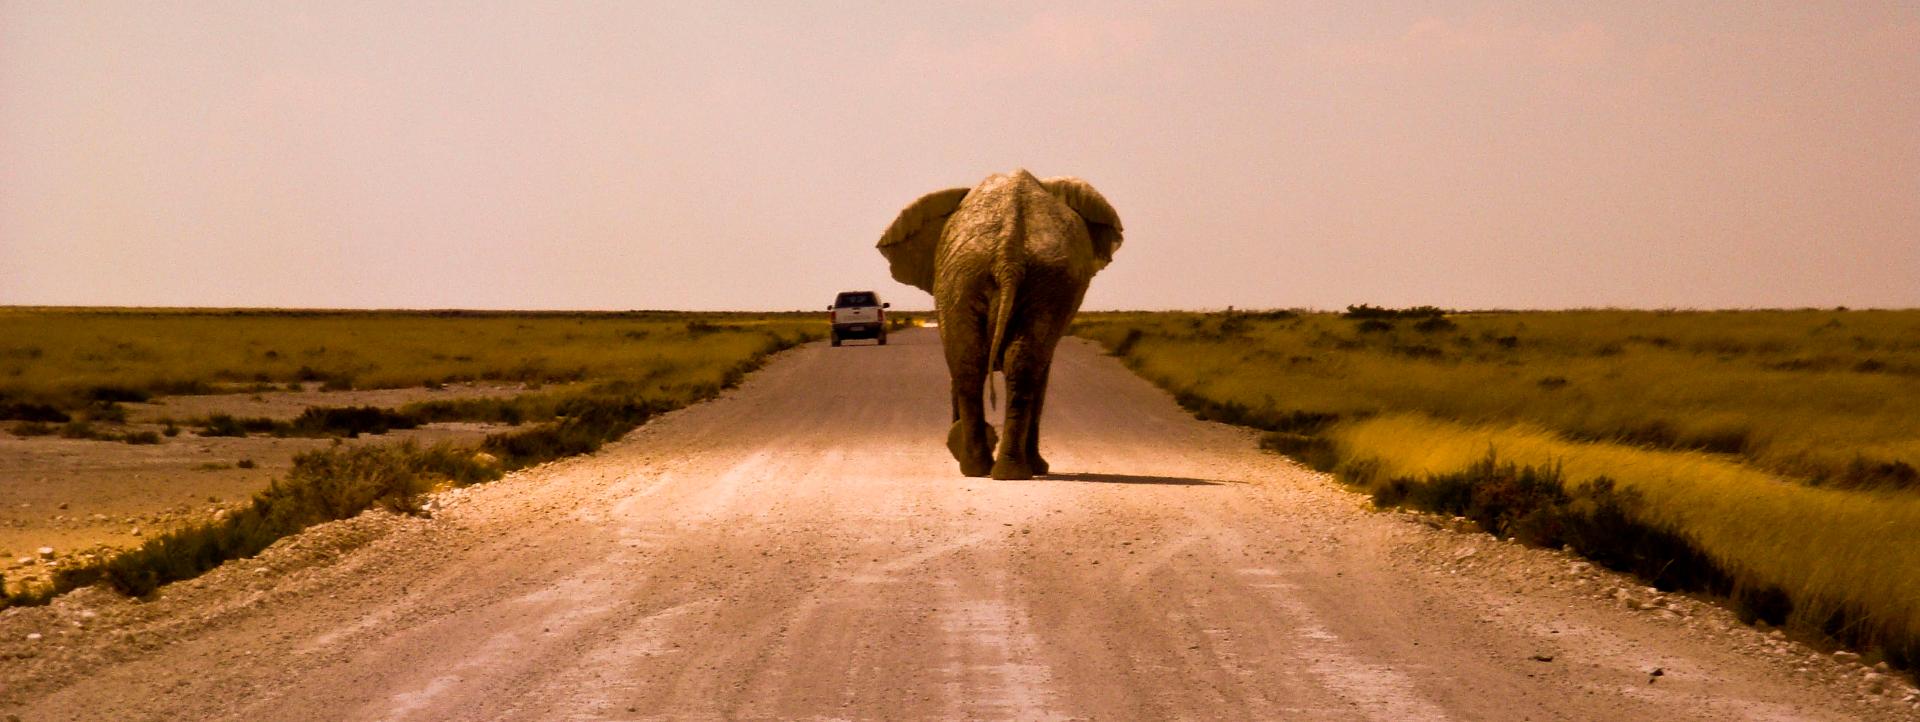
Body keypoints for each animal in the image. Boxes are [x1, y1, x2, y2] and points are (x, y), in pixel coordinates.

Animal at [875, 170, 1121, 480]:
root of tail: (1009, 251)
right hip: (987, 275)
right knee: (985, 364)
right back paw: (991, 470)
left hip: (1024, 278)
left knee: (983, 364)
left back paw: (995, 470)